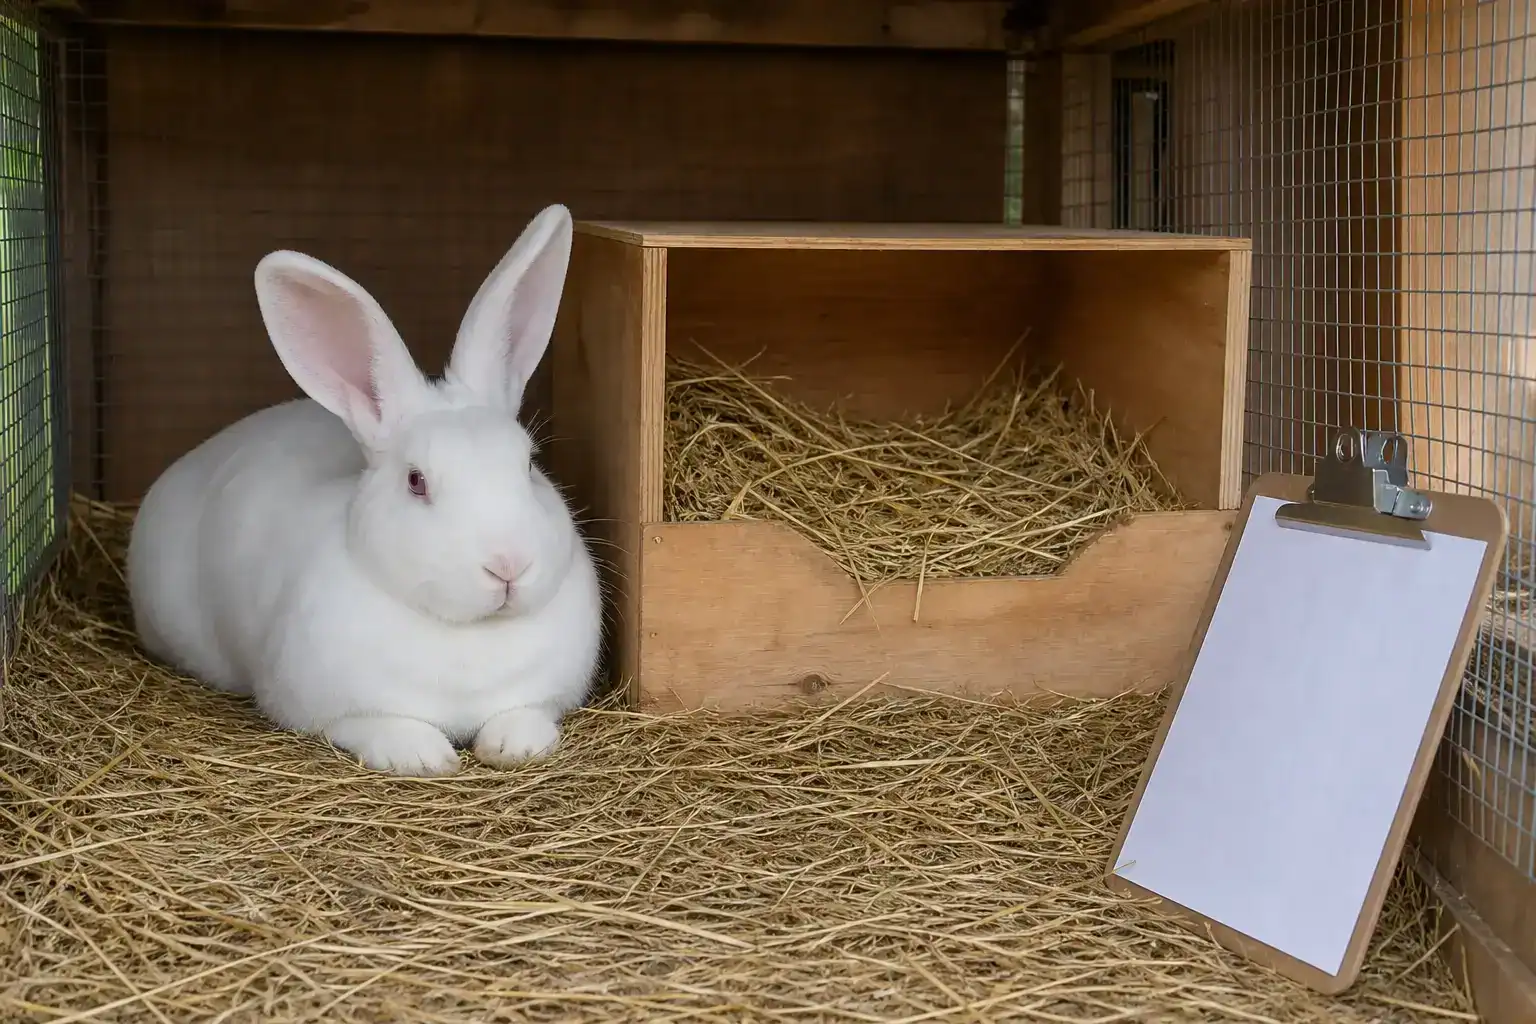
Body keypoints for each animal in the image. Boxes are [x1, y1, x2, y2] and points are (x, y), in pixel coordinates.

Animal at [125, 204, 603, 777]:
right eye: (416, 481)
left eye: (528, 463)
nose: (508, 565)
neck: (466, 634)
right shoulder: (324, 708)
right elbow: (377, 725)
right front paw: (423, 756)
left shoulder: (545, 695)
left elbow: (526, 713)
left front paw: (514, 745)